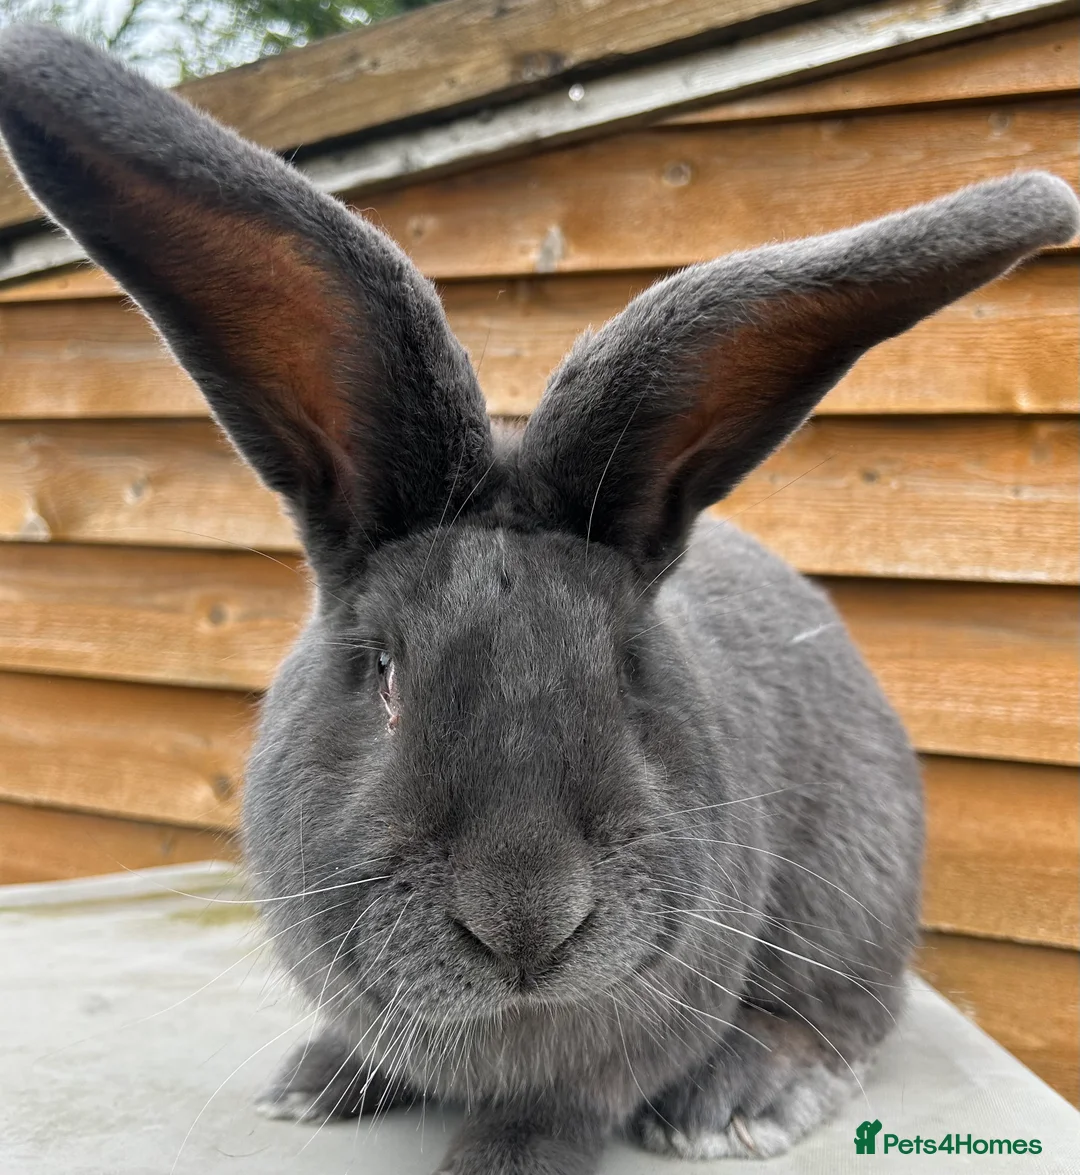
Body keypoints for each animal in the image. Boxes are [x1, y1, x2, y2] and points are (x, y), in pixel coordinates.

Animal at [2, 25, 1076, 1174]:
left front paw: (498, 1159)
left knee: (842, 1013)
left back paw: (740, 1095)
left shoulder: (625, 1039)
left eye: (628, 667)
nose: (527, 919)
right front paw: (317, 1080)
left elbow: (559, 1106)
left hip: (855, 897)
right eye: (383, 670)